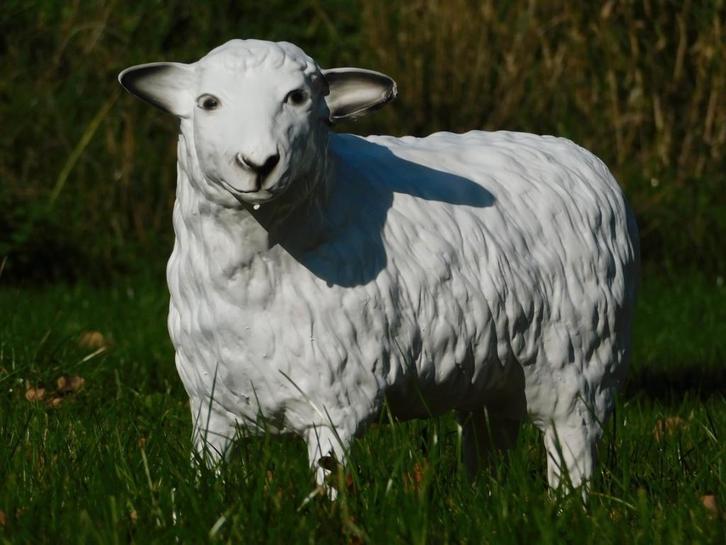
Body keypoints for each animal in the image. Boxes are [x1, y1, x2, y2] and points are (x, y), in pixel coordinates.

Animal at [118, 38, 639, 495]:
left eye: (297, 97)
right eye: (208, 102)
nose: (258, 163)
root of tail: (581, 157)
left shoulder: (334, 398)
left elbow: (331, 483)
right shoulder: (212, 402)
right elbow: (206, 473)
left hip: (580, 364)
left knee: (572, 448)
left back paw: (566, 506)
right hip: (494, 369)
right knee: (487, 437)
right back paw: (480, 496)